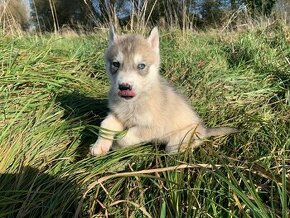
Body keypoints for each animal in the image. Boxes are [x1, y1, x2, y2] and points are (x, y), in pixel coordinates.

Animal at [90, 26, 238, 155]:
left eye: (141, 66)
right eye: (116, 64)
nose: (124, 87)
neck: (133, 102)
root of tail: (204, 130)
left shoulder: (153, 128)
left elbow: (124, 137)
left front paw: (115, 145)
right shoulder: (118, 115)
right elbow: (105, 124)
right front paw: (100, 146)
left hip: (176, 142)